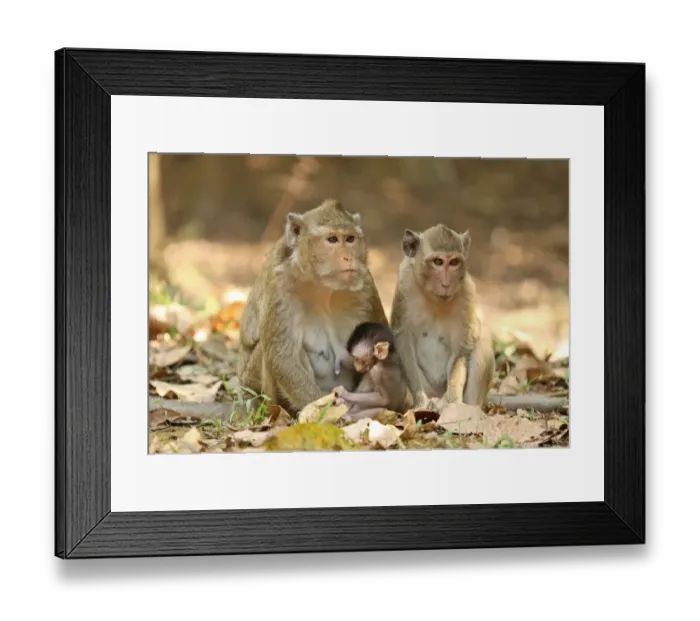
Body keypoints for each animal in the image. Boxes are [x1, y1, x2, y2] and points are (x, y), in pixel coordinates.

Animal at [237, 199, 388, 414]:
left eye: (350, 239)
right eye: (332, 239)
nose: (348, 258)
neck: (322, 286)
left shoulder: (366, 284)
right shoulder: (279, 285)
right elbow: (283, 359)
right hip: (253, 382)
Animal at [389, 224, 495, 413]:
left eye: (454, 262)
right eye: (437, 262)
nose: (447, 284)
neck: (434, 299)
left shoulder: (467, 292)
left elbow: (462, 347)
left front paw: (450, 403)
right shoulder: (405, 283)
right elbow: (402, 339)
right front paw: (421, 403)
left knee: (482, 344)